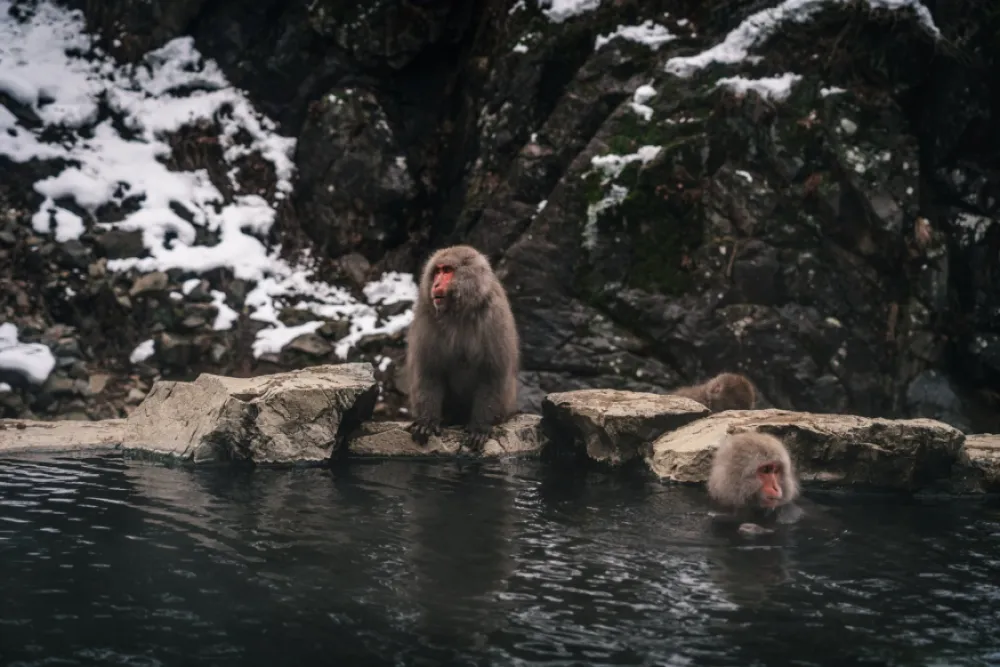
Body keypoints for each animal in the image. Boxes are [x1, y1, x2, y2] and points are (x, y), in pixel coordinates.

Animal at [404, 245, 520, 451]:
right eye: (437, 272)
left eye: (447, 270)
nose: (435, 284)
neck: (459, 312)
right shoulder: (426, 316)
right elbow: (429, 372)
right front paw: (427, 421)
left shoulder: (495, 316)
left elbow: (492, 374)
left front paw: (480, 427)